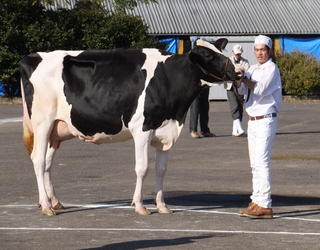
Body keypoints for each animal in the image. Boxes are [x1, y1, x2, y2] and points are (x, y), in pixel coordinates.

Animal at [18, 38, 236, 216]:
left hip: (55, 131)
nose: (235, 70)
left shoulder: (165, 130)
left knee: (47, 163)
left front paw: (162, 205)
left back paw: (54, 201)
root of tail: (32, 57)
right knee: (38, 161)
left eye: (220, 49)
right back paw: (47, 206)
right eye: (208, 55)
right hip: (42, 123)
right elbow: (142, 168)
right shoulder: (142, 129)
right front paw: (140, 206)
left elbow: (161, 169)